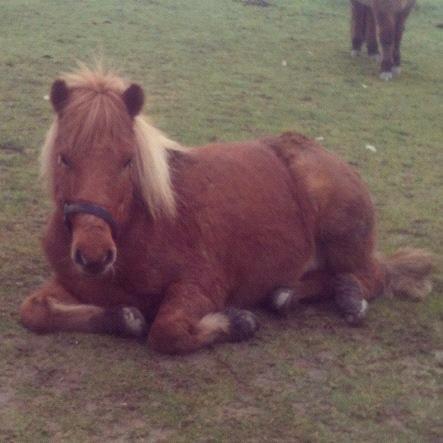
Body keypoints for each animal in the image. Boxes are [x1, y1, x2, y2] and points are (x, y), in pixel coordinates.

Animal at [20, 66, 434, 356]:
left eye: (127, 161)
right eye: (63, 158)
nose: (94, 255)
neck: (138, 228)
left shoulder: (200, 285)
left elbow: (167, 332)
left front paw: (236, 323)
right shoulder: (72, 284)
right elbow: (34, 311)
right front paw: (123, 317)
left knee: (374, 274)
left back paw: (349, 295)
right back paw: (288, 294)